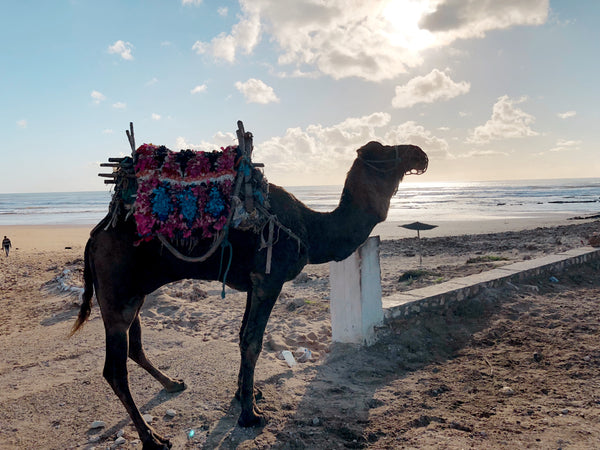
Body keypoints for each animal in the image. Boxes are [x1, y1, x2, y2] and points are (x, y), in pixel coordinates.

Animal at [70, 139, 426, 448]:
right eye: (385, 150)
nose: (420, 153)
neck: (310, 231)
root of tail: (94, 236)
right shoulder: (269, 279)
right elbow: (253, 341)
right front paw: (250, 415)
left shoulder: (254, 284)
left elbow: (243, 335)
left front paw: (245, 395)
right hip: (118, 294)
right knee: (114, 370)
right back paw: (152, 438)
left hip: (135, 293)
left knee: (135, 348)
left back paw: (172, 384)